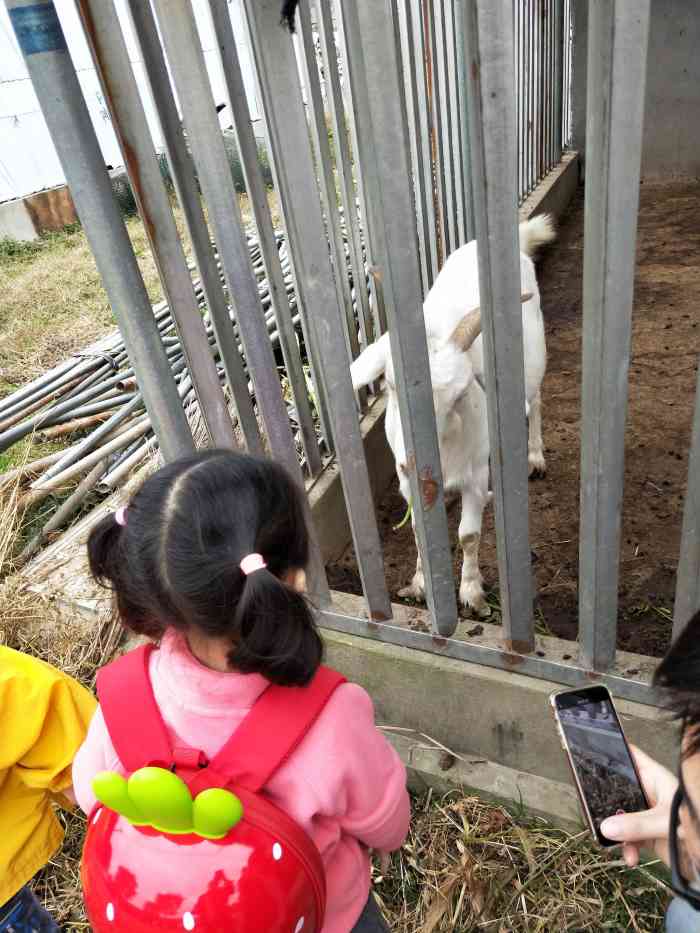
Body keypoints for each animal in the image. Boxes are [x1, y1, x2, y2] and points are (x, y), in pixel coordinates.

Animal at [352, 215, 556, 616]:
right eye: (390, 386)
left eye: (460, 395)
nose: (415, 461)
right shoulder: (408, 483)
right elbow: (419, 531)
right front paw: (419, 585)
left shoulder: (476, 473)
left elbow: (469, 535)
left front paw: (472, 593)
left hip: (534, 357)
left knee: (536, 400)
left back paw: (534, 456)